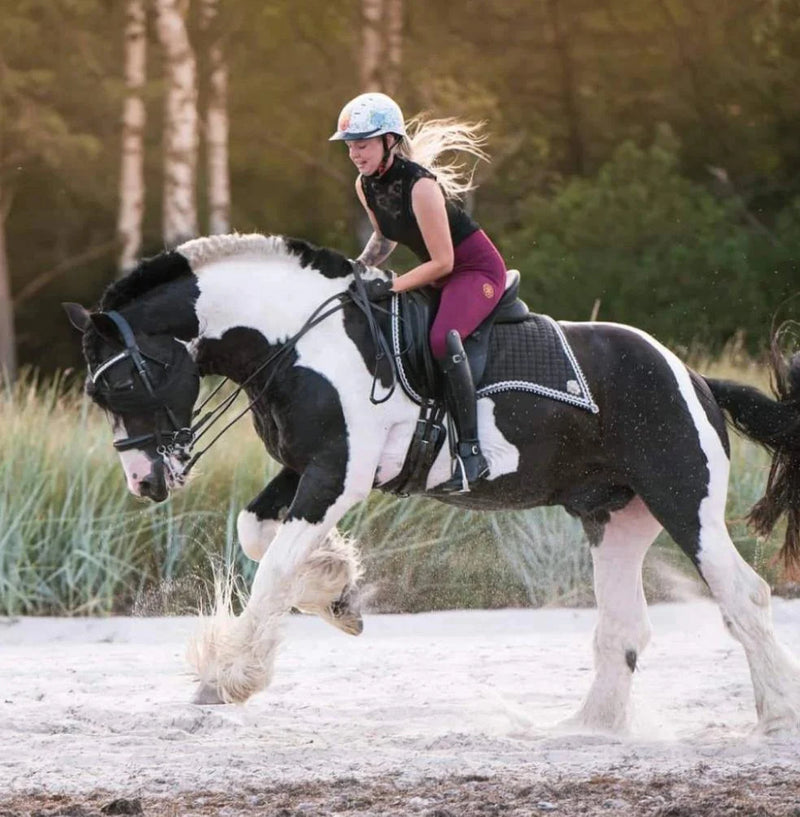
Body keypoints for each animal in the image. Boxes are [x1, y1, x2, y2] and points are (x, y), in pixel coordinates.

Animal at [62, 231, 800, 732]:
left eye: (120, 383)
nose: (145, 482)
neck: (297, 341)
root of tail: (694, 378)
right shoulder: (305, 467)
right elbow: (258, 535)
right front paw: (337, 592)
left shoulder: (337, 474)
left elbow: (271, 568)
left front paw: (228, 678)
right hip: (615, 519)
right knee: (624, 626)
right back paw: (585, 731)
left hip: (685, 502)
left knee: (744, 595)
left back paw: (773, 721)